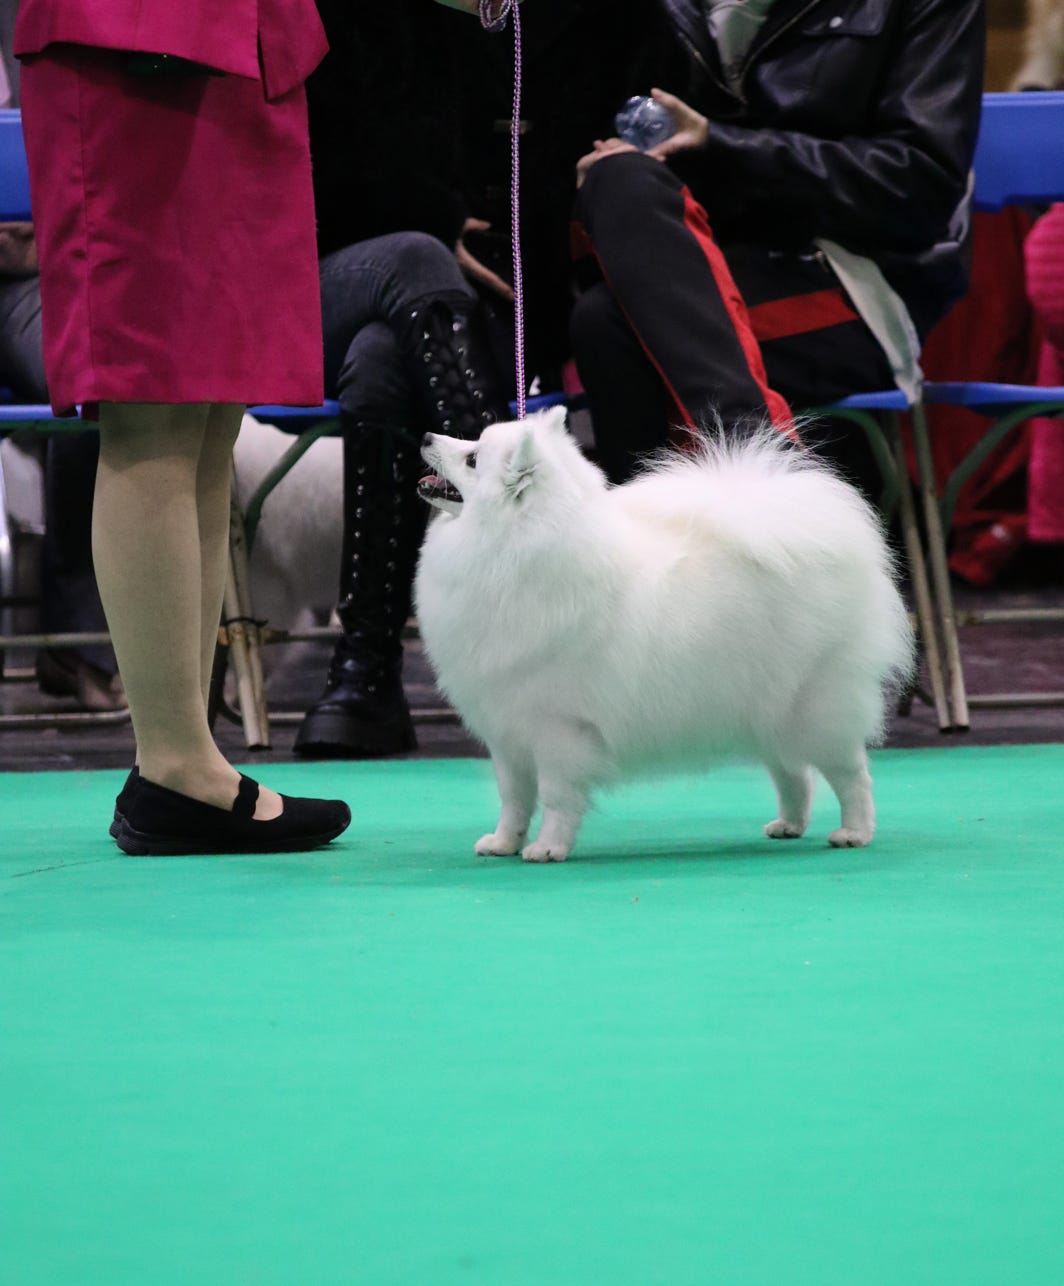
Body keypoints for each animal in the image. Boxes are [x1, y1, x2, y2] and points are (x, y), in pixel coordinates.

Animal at [414, 407, 914, 862]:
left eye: (473, 458)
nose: (425, 436)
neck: (510, 551)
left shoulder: (559, 728)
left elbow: (556, 796)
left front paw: (547, 848)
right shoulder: (508, 730)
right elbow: (514, 799)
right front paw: (503, 843)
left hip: (815, 706)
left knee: (851, 774)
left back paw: (854, 832)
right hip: (767, 704)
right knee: (793, 773)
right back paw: (789, 824)